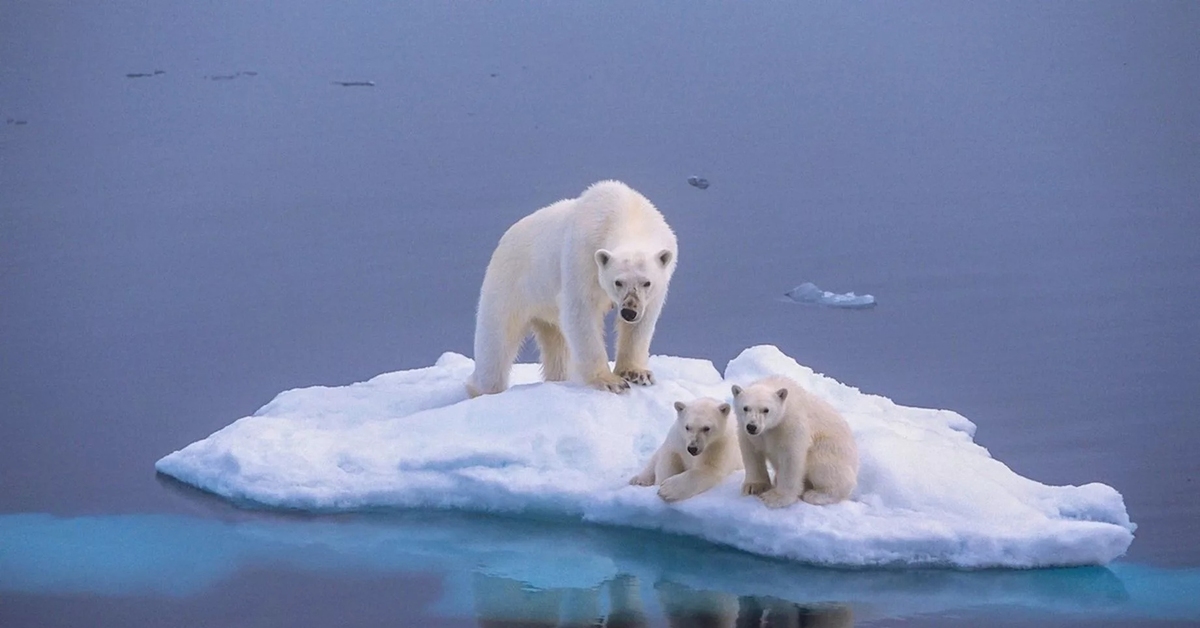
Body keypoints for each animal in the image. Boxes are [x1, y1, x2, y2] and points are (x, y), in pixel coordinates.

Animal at [465, 180, 681, 398]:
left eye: (647, 282)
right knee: (496, 342)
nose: (629, 311)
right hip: (510, 285)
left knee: (556, 345)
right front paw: (611, 382)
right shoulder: (583, 256)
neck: (628, 213)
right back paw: (481, 389)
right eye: (618, 282)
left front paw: (637, 373)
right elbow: (581, 312)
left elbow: (642, 323)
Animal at [724, 377, 859, 509]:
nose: (752, 426)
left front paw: (776, 498)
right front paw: (753, 487)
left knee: (824, 466)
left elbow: (791, 457)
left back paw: (816, 495)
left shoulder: (790, 424)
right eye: (745, 408)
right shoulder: (748, 431)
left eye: (766, 410)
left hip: (830, 450)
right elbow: (751, 452)